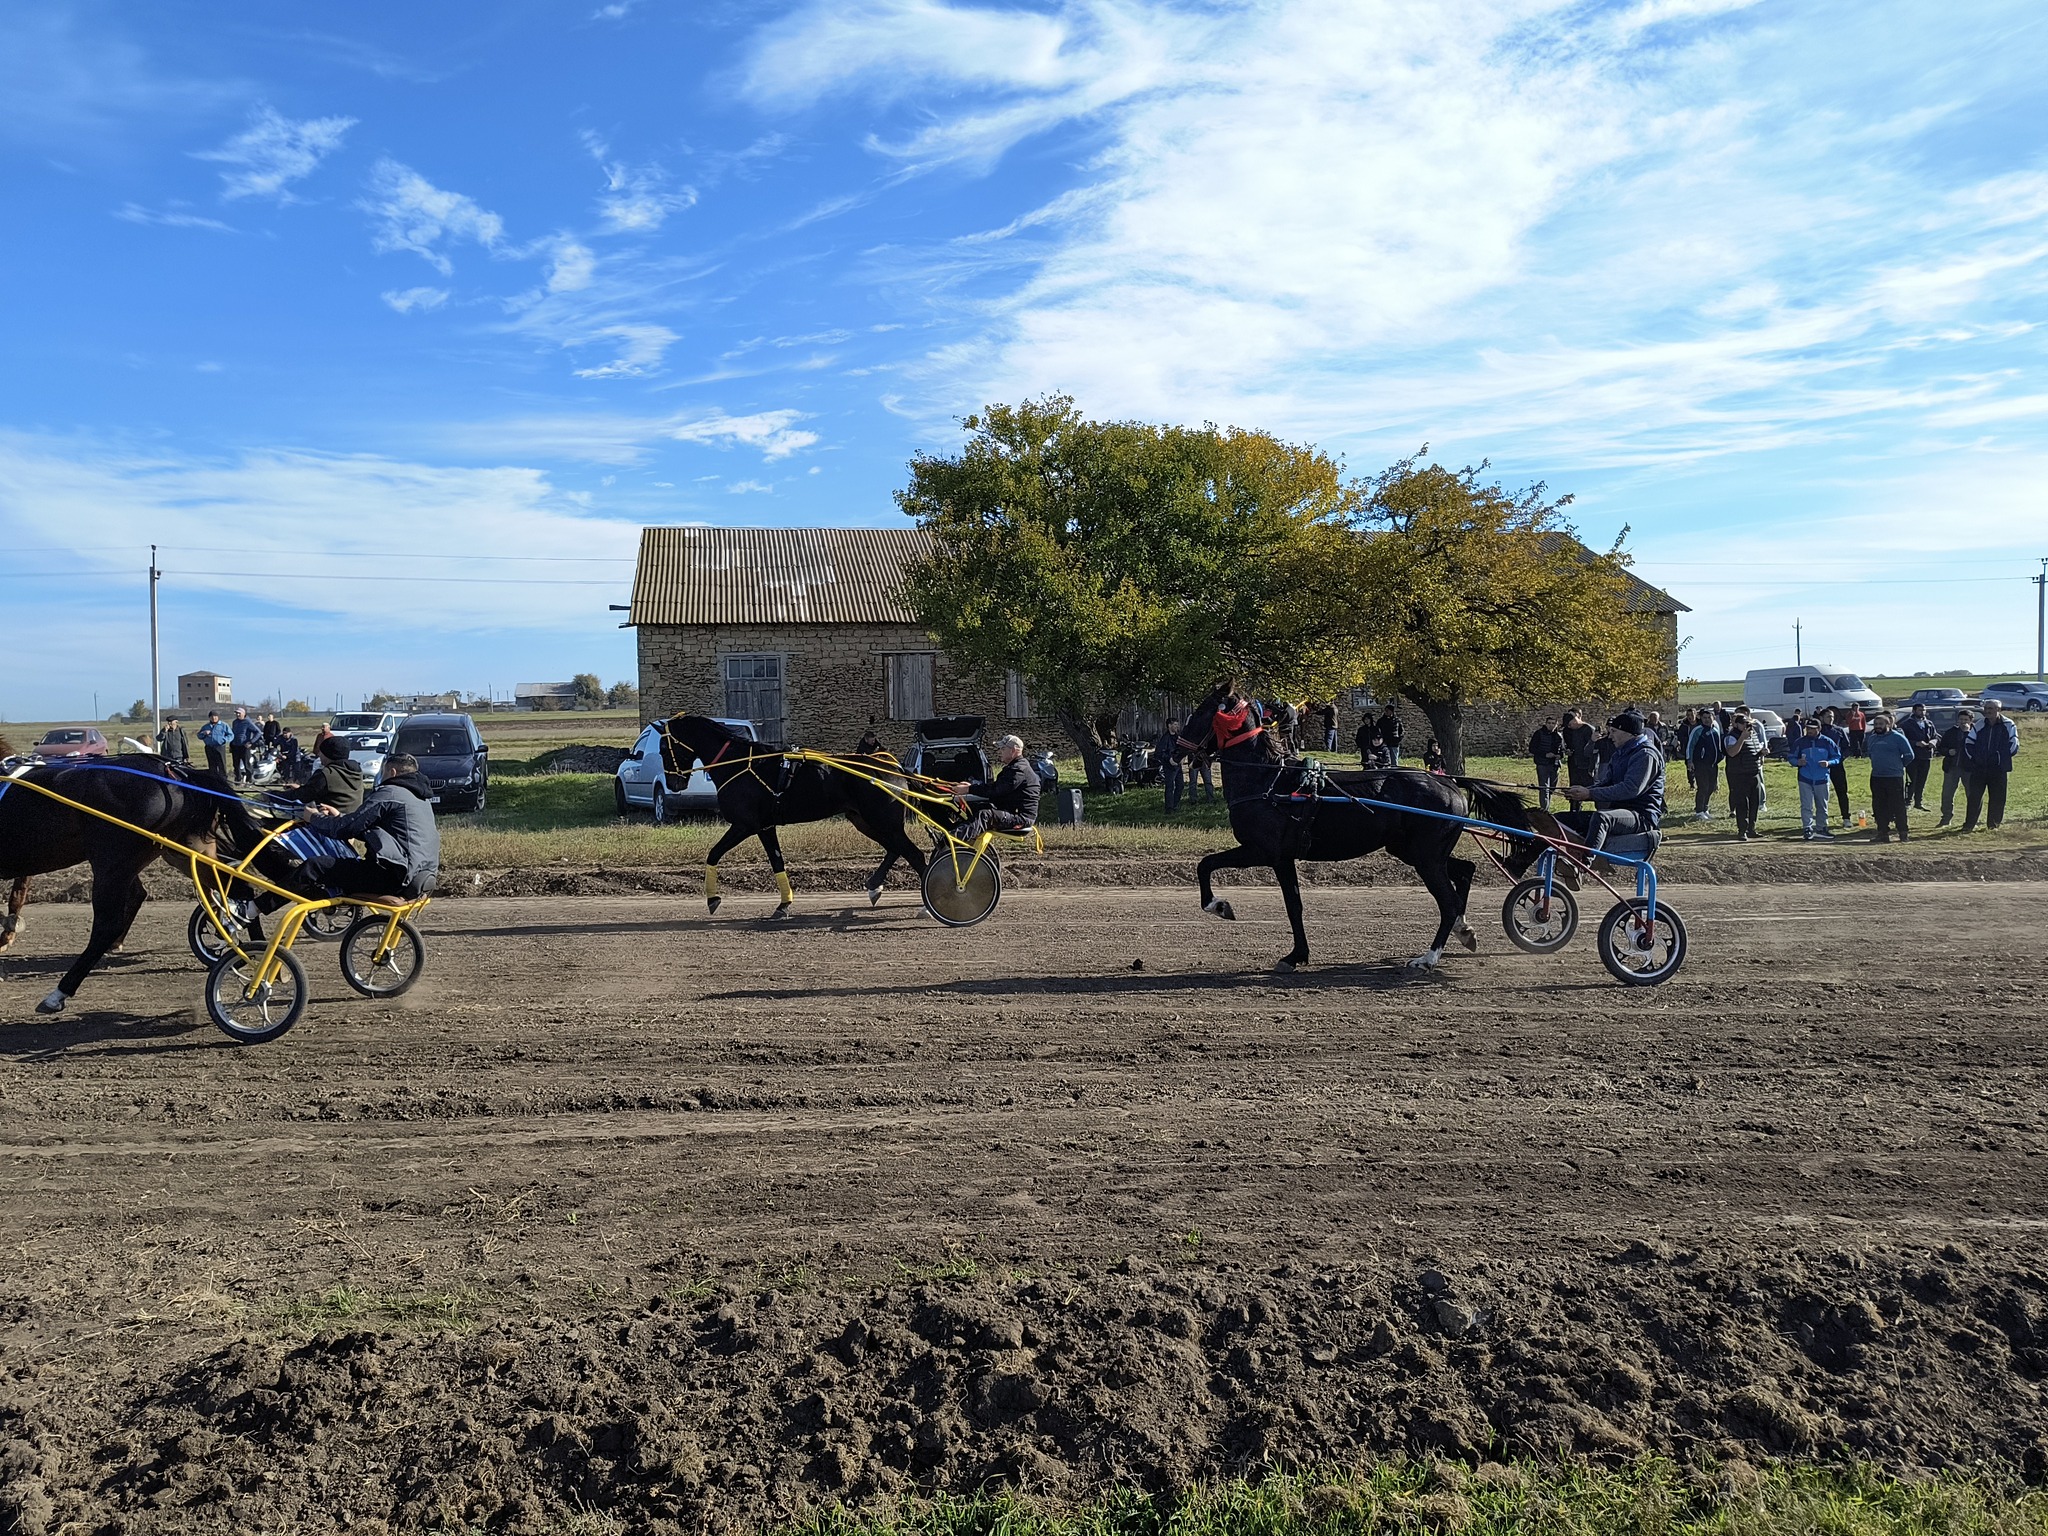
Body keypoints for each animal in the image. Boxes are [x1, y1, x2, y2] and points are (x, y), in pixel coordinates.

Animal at [655, 720, 929, 921]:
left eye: (663, 749)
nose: (673, 783)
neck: (739, 764)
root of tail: (894, 767)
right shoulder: (765, 826)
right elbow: (777, 861)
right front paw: (784, 904)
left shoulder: (746, 825)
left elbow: (714, 853)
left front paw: (713, 899)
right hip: (864, 820)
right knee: (895, 849)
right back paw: (874, 886)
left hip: (883, 821)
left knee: (914, 854)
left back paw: (927, 905)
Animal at [1179, 688, 1540, 974]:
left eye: (1200, 712)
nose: (1176, 749)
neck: (1269, 781)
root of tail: (1448, 781)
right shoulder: (1282, 858)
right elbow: (1293, 904)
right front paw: (1297, 955)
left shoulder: (1265, 852)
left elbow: (1207, 865)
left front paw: (1219, 906)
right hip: (1414, 852)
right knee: (1465, 871)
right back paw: (1464, 931)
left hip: (1425, 858)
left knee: (1448, 902)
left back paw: (1428, 958)